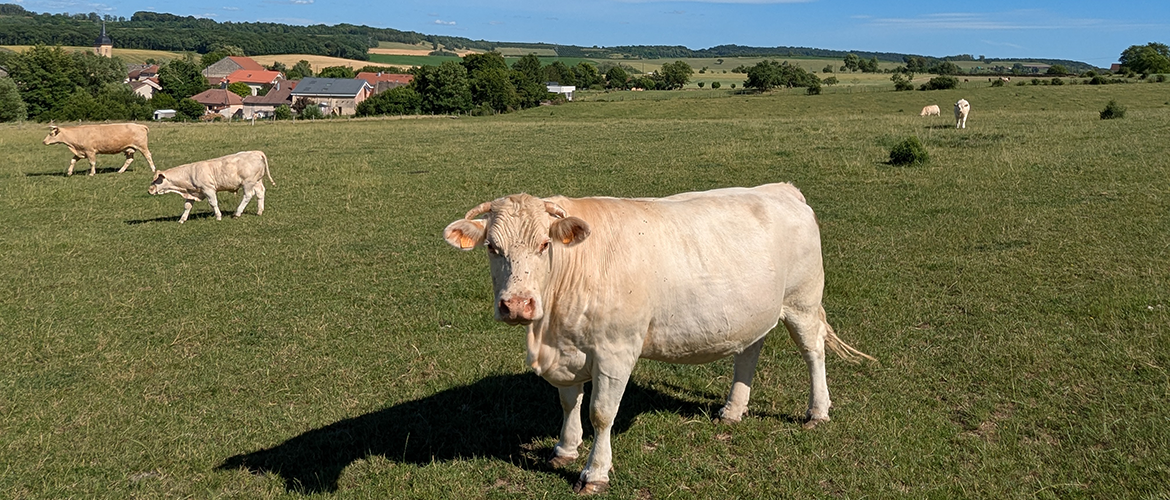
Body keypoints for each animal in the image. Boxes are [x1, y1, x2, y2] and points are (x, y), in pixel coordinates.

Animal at [443, 183, 873, 494]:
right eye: (492, 248)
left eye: (544, 245)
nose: (516, 304)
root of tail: (782, 189)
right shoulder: (568, 350)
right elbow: (568, 402)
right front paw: (564, 450)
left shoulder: (616, 350)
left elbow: (601, 412)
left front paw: (594, 472)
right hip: (752, 311)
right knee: (749, 352)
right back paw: (733, 409)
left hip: (802, 301)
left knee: (813, 351)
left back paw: (817, 411)